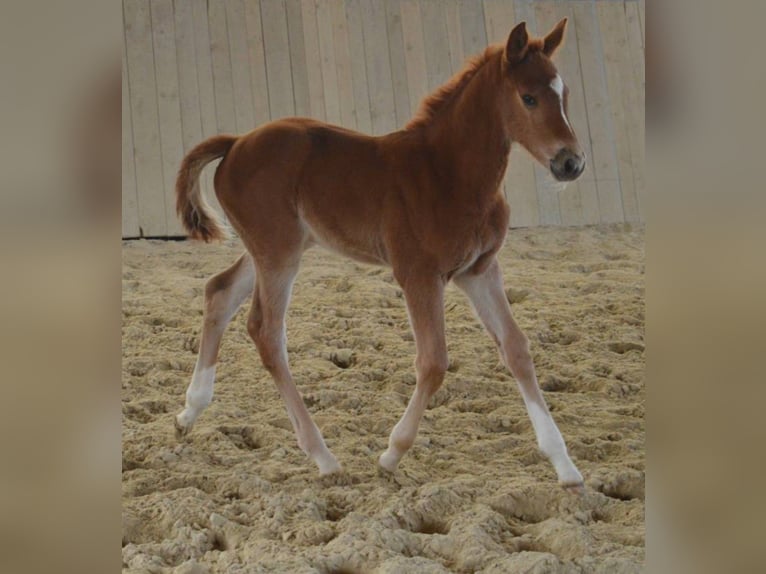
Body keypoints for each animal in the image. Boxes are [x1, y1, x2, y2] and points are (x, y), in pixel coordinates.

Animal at [174, 20, 586, 492]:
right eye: (529, 97)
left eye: (564, 93)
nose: (571, 163)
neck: (449, 173)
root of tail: (237, 141)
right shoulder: (418, 274)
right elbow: (434, 362)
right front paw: (391, 454)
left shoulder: (480, 271)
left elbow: (517, 349)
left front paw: (565, 466)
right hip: (278, 252)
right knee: (265, 330)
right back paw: (323, 456)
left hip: (271, 247)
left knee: (220, 293)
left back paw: (188, 412)